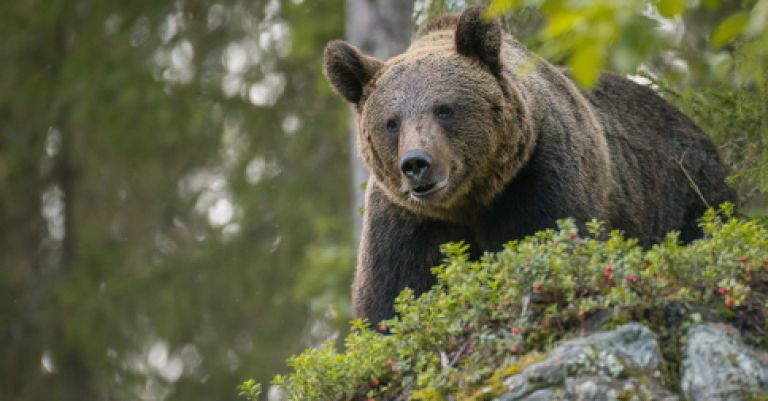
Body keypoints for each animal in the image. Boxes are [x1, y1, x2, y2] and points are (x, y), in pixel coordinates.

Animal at [320, 6, 736, 324]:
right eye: (391, 122)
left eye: (444, 108)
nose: (416, 164)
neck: (471, 200)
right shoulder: (407, 219)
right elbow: (393, 296)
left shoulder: (541, 175)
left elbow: (546, 242)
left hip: (688, 193)